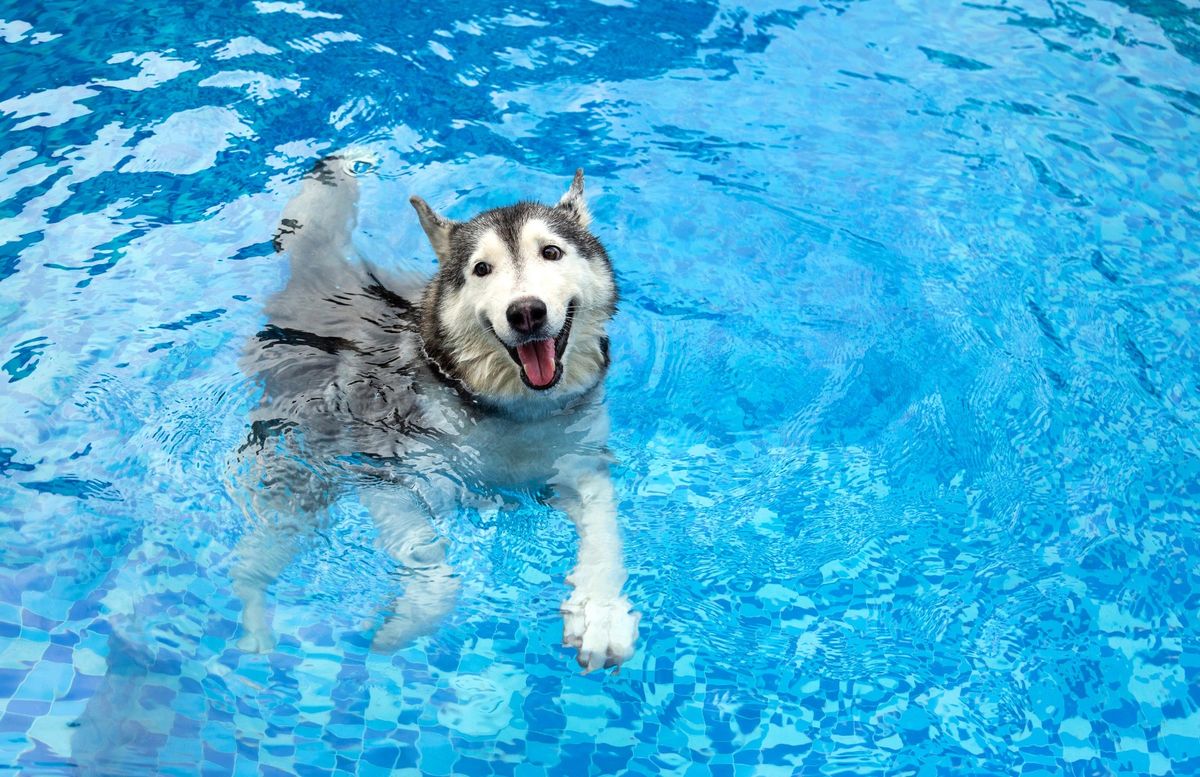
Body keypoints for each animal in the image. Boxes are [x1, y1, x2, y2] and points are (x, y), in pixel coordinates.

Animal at [232, 154, 643, 671]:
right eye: (482, 268)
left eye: (551, 252)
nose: (525, 312)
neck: (511, 409)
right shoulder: (385, 472)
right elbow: (431, 557)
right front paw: (407, 620)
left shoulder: (581, 465)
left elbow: (606, 532)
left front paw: (601, 611)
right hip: (302, 481)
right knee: (255, 553)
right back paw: (252, 622)